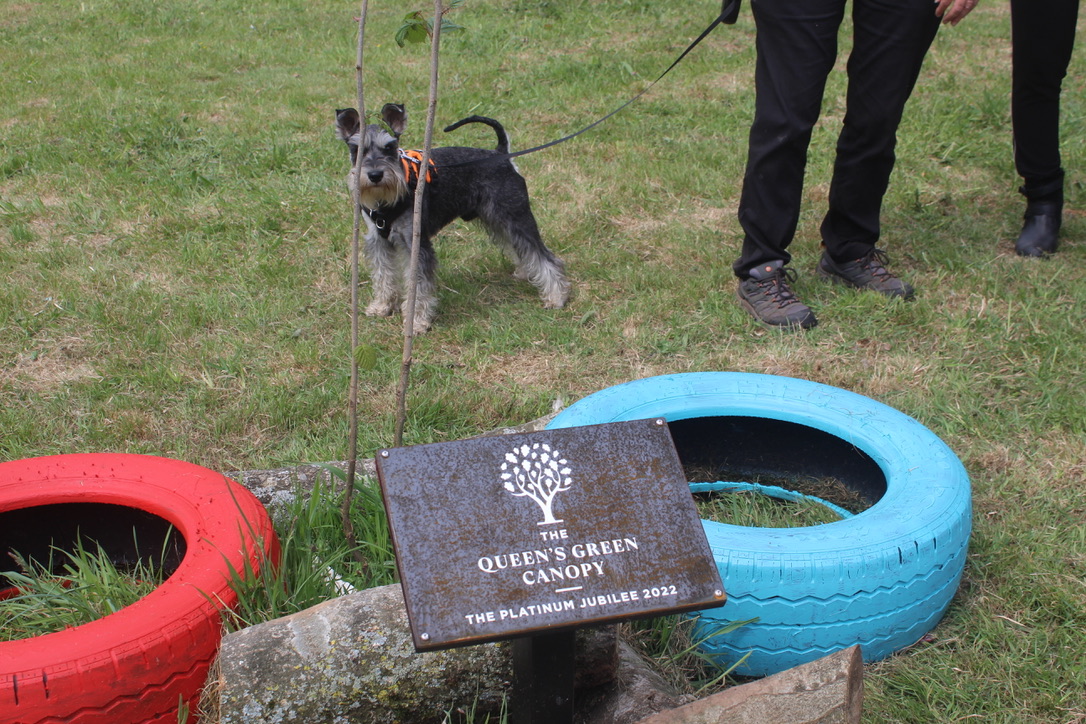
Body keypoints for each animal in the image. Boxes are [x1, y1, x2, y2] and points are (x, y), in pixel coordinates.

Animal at [334, 103, 570, 332]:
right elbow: (383, 275)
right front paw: (382, 306)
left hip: (515, 216)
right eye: (357, 150)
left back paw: (557, 297)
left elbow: (418, 286)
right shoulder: (378, 242)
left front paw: (416, 322)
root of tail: (502, 154)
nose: (375, 175)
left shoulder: (416, 245)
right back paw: (526, 272)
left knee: (545, 257)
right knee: (520, 248)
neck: (386, 200)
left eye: (389, 148)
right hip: (497, 219)